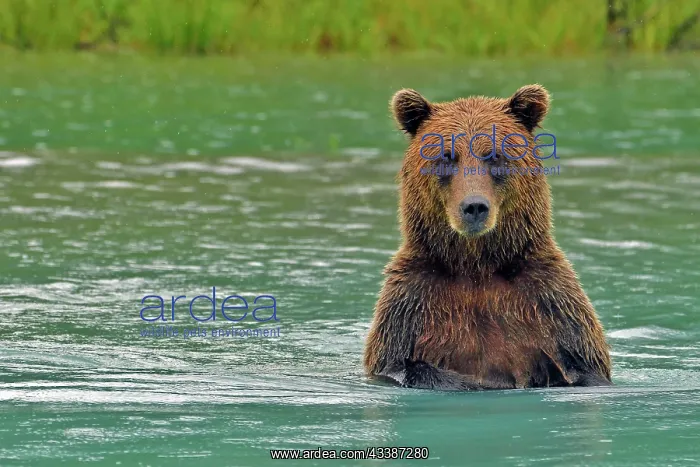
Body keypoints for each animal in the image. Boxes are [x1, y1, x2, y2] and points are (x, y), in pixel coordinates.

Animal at [363, 85, 612, 390]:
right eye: (447, 156)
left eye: (494, 155)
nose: (474, 207)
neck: (477, 266)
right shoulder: (410, 307)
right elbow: (401, 366)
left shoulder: (552, 305)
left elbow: (584, 366)